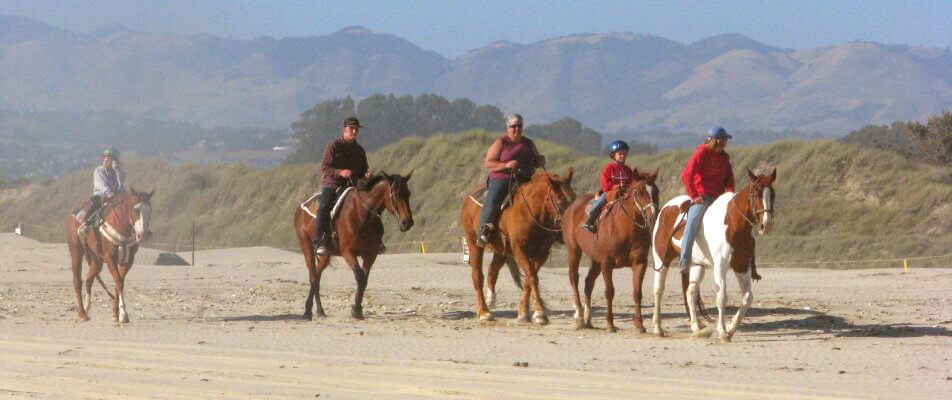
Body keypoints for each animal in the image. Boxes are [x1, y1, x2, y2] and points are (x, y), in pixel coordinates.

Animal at [67, 189, 153, 324]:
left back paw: (87, 308)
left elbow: (119, 283)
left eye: (149, 210)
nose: (142, 235)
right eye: (135, 209)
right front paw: (123, 315)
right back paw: (82, 314)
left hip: (97, 260)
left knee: (89, 278)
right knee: (77, 281)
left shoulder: (128, 261)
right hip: (76, 253)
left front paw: (115, 314)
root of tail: (74, 215)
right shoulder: (110, 258)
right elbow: (118, 282)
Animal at [288, 173, 410, 322]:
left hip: (325, 255)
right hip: (307, 248)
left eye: (408, 194)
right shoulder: (348, 252)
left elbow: (364, 280)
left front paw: (357, 308)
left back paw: (318, 310)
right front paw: (356, 310)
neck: (361, 214)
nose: (407, 222)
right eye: (397, 195)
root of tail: (300, 209)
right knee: (313, 277)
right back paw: (309, 312)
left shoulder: (371, 254)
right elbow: (359, 276)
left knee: (317, 275)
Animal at [460, 167, 576, 324]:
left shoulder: (542, 253)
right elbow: (532, 277)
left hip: (501, 249)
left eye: (575, 199)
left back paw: (491, 299)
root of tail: (468, 198)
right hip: (474, 242)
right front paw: (539, 313)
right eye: (560, 204)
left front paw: (523, 312)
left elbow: (529, 278)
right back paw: (484, 312)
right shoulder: (520, 250)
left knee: (493, 269)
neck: (531, 211)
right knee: (477, 275)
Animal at [560, 170, 660, 332]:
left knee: (588, 283)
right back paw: (579, 316)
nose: (653, 218)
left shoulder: (640, 263)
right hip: (574, 251)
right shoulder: (607, 263)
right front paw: (610, 324)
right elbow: (609, 292)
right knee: (574, 278)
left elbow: (637, 292)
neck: (625, 229)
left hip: (595, 260)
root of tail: (571, 207)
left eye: (656, 191)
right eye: (638, 192)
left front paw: (639, 325)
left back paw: (588, 320)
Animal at [652, 167, 776, 342]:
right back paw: (658, 328)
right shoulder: (720, 266)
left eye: (772, 194)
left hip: (697, 266)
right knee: (658, 290)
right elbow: (722, 297)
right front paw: (723, 332)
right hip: (661, 260)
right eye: (756, 193)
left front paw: (730, 328)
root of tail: (665, 208)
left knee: (690, 293)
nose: (767, 225)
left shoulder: (742, 266)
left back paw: (696, 328)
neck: (733, 223)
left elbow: (747, 297)